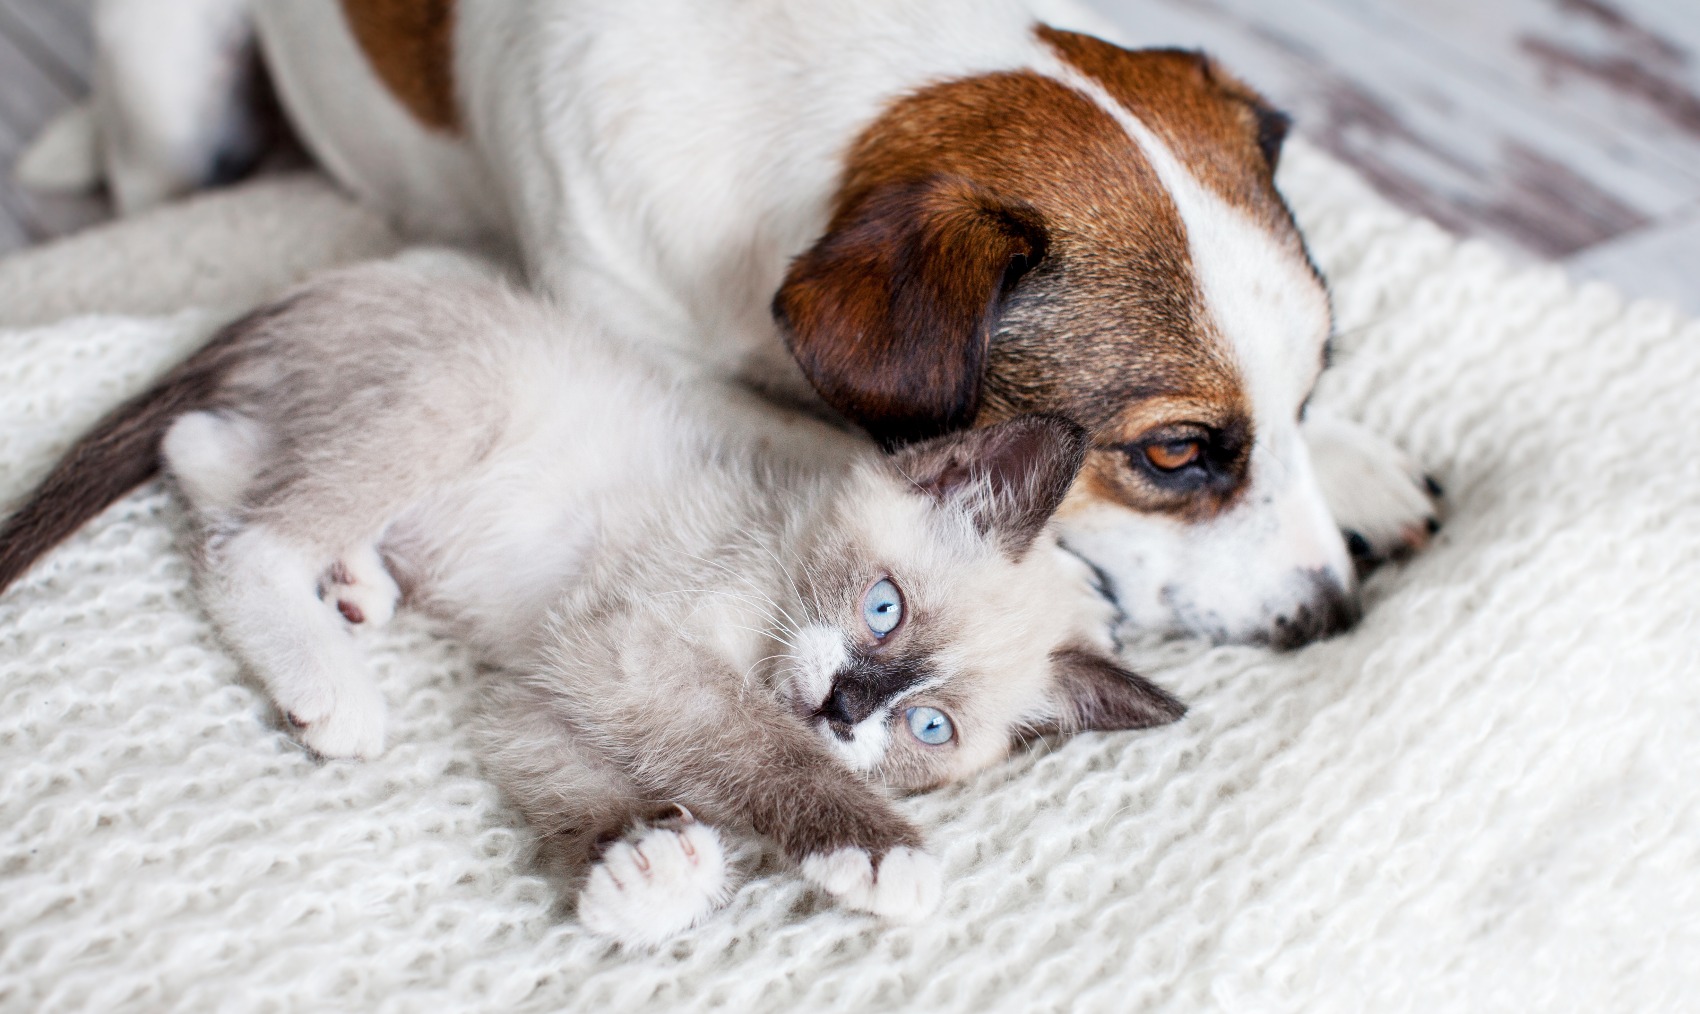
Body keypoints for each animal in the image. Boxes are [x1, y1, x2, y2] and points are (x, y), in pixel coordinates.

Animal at [0, 256, 1183, 945]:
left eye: (926, 728)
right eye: (882, 607)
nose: (845, 709)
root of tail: (329, 283)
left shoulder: (536, 681)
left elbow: (567, 775)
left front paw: (640, 867)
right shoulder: (626, 653)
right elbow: (751, 747)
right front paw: (875, 854)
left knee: (203, 449)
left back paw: (356, 589)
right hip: (461, 396)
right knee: (242, 535)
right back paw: (335, 691)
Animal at [19, 0, 1441, 646]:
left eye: (1308, 394)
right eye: (1172, 454)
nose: (1331, 616)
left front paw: (1356, 464)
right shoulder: (614, 333)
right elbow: (839, 440)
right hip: (172, 87)